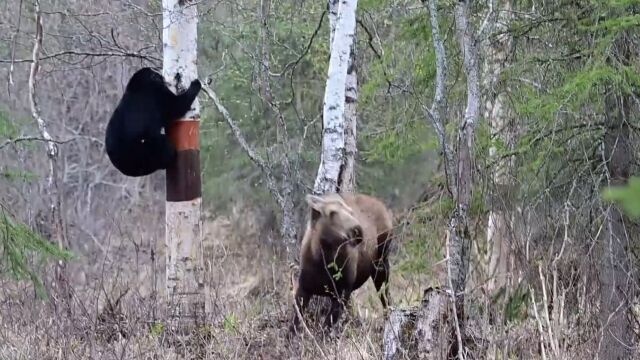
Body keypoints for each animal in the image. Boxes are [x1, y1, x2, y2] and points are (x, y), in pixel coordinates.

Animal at [292, 193, 396, 334]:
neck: (322, 259)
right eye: (332, 212)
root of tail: (383, 206)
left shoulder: (343, 292)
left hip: (381, 263)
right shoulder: (304, 287)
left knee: (385, 296)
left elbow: (326, 327)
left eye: (351, 211)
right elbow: (294, 324)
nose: (358, 230)